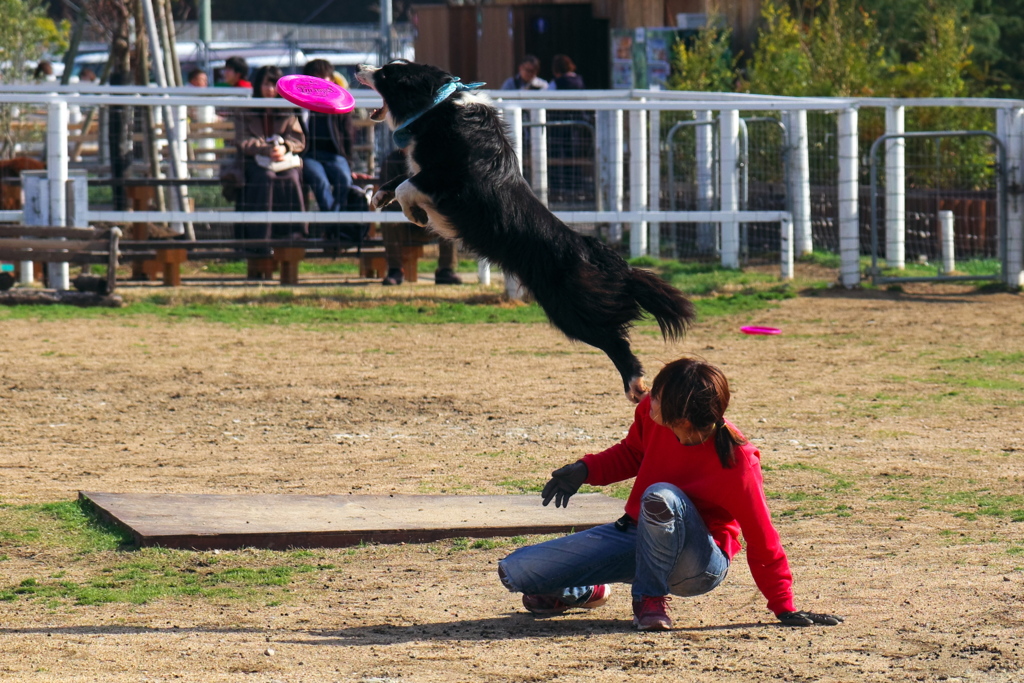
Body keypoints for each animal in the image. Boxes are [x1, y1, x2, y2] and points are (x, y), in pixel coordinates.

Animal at [358, 61, 696, 403]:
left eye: (386, 74)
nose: (360, 66)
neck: (439, 105)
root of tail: (597, 253)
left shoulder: (453, 182)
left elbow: (407, 184)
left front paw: (414, 213)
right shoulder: (427, 171)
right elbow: (402, 177)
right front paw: (379, 196)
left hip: (570, 309)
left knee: (616, 341)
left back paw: (636, 385)